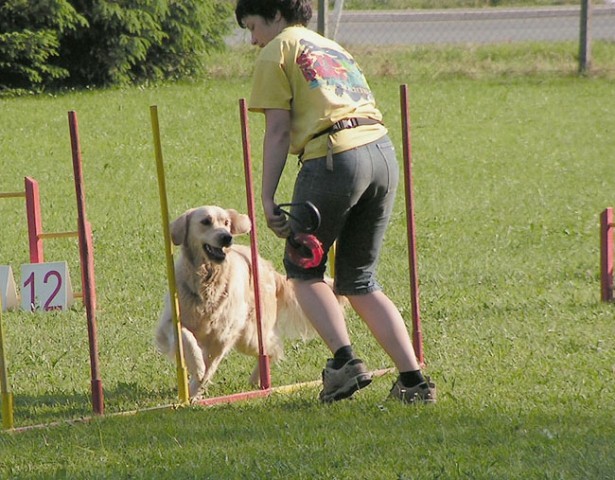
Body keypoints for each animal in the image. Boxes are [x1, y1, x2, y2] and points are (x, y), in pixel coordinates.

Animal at [154, 205, 328, 398]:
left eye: (226, 223)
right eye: (206, 221)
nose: (226, 237)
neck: (207, 279)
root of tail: (269, 268)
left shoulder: (222, 337)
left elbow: (209, 367)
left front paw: (194, 392)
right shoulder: (169, 323)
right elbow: (187, 338)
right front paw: (196, 367)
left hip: (249, 335)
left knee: (271, 347)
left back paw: (260, 382)